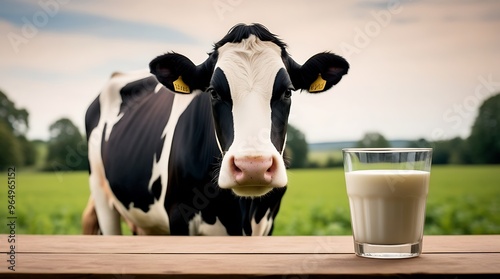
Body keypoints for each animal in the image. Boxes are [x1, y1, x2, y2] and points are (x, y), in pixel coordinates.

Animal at [83, 23, 348, 236]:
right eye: (213, 92)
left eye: (287, 91)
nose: (253, 167)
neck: (241, 213)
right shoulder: (178, 214)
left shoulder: (269, 221)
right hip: (102, 195)